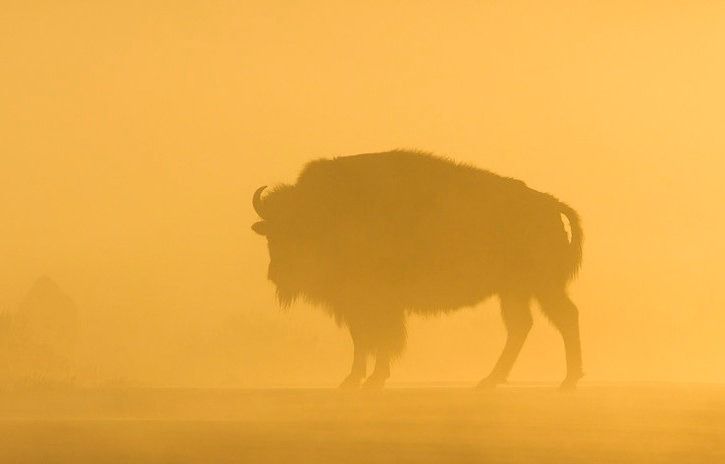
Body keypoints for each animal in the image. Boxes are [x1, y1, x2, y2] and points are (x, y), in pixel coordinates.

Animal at [253, 151, 584, 388]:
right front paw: (353, 380)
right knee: (521, 327)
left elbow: (381, 339)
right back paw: (491, 380)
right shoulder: (356, 305)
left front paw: (374, 379)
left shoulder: (379, 303)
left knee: (564, 317)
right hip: (514, 291)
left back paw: (568, 381)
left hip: (542, 286)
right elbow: (362, 339)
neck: (331, 213)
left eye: (300, 230)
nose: (276, 274)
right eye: (271, 234)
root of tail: (549, 204)